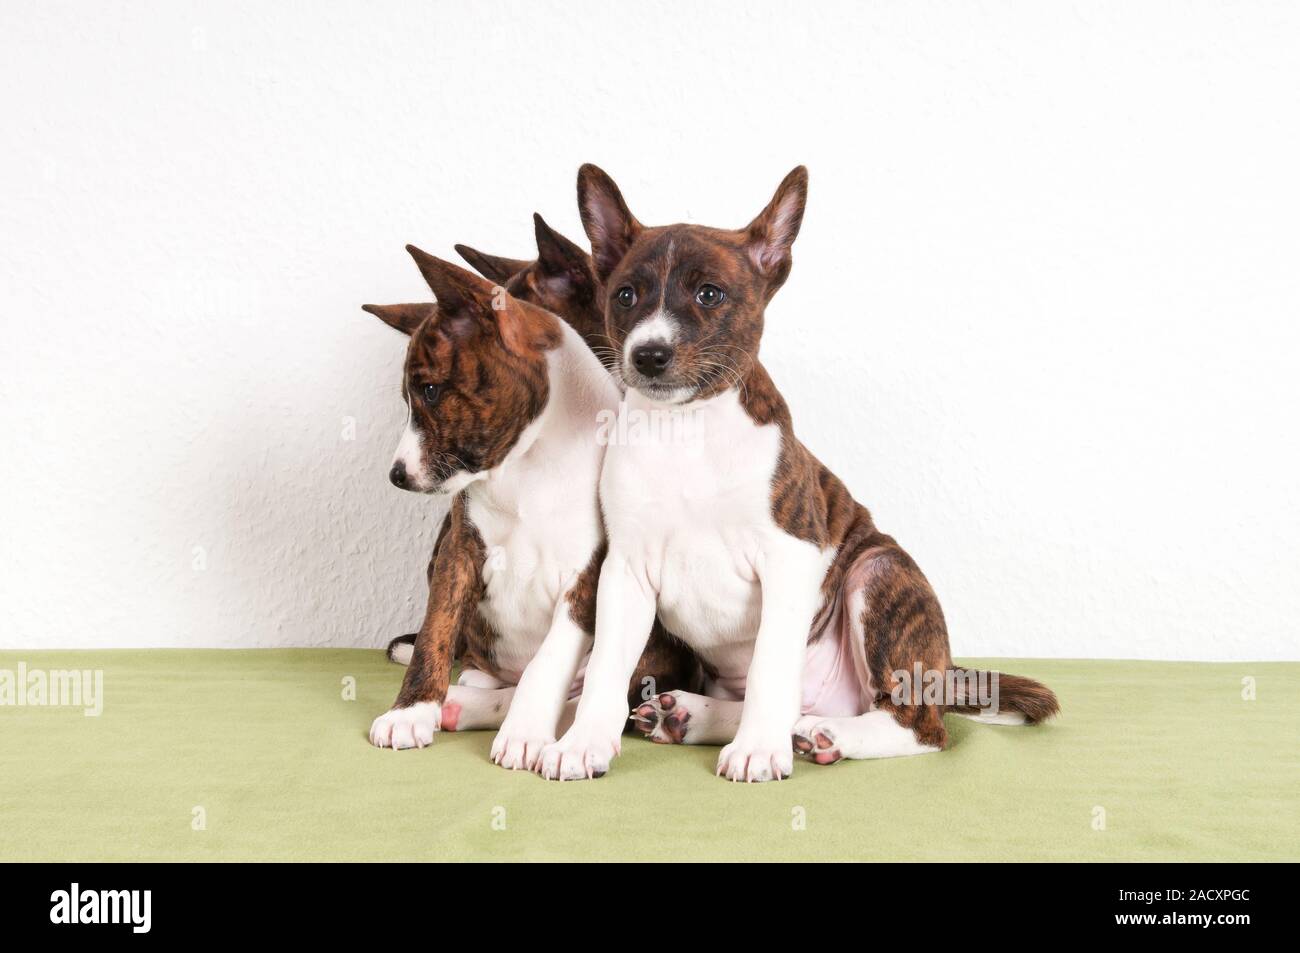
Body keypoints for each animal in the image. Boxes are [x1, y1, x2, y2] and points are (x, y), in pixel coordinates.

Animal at [364, 245, 702, 764]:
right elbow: (433, 634)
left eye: (431, 391)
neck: (526, 466)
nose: (397, 475)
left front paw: (525, 735)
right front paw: (411, 711)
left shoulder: (586, 579)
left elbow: (548, 665)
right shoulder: (458, 554)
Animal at [538, 167, 1055, 785]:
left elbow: (770, 664)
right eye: (625, 296)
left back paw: (826, 733)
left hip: (878, 573)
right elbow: (605, 670)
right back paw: (693, 715)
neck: (686, 431)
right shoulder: (625, 573)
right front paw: (581, 743)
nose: (649, 354)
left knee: (917, 723)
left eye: (709, 294)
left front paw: (758, 750)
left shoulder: (789, 557)